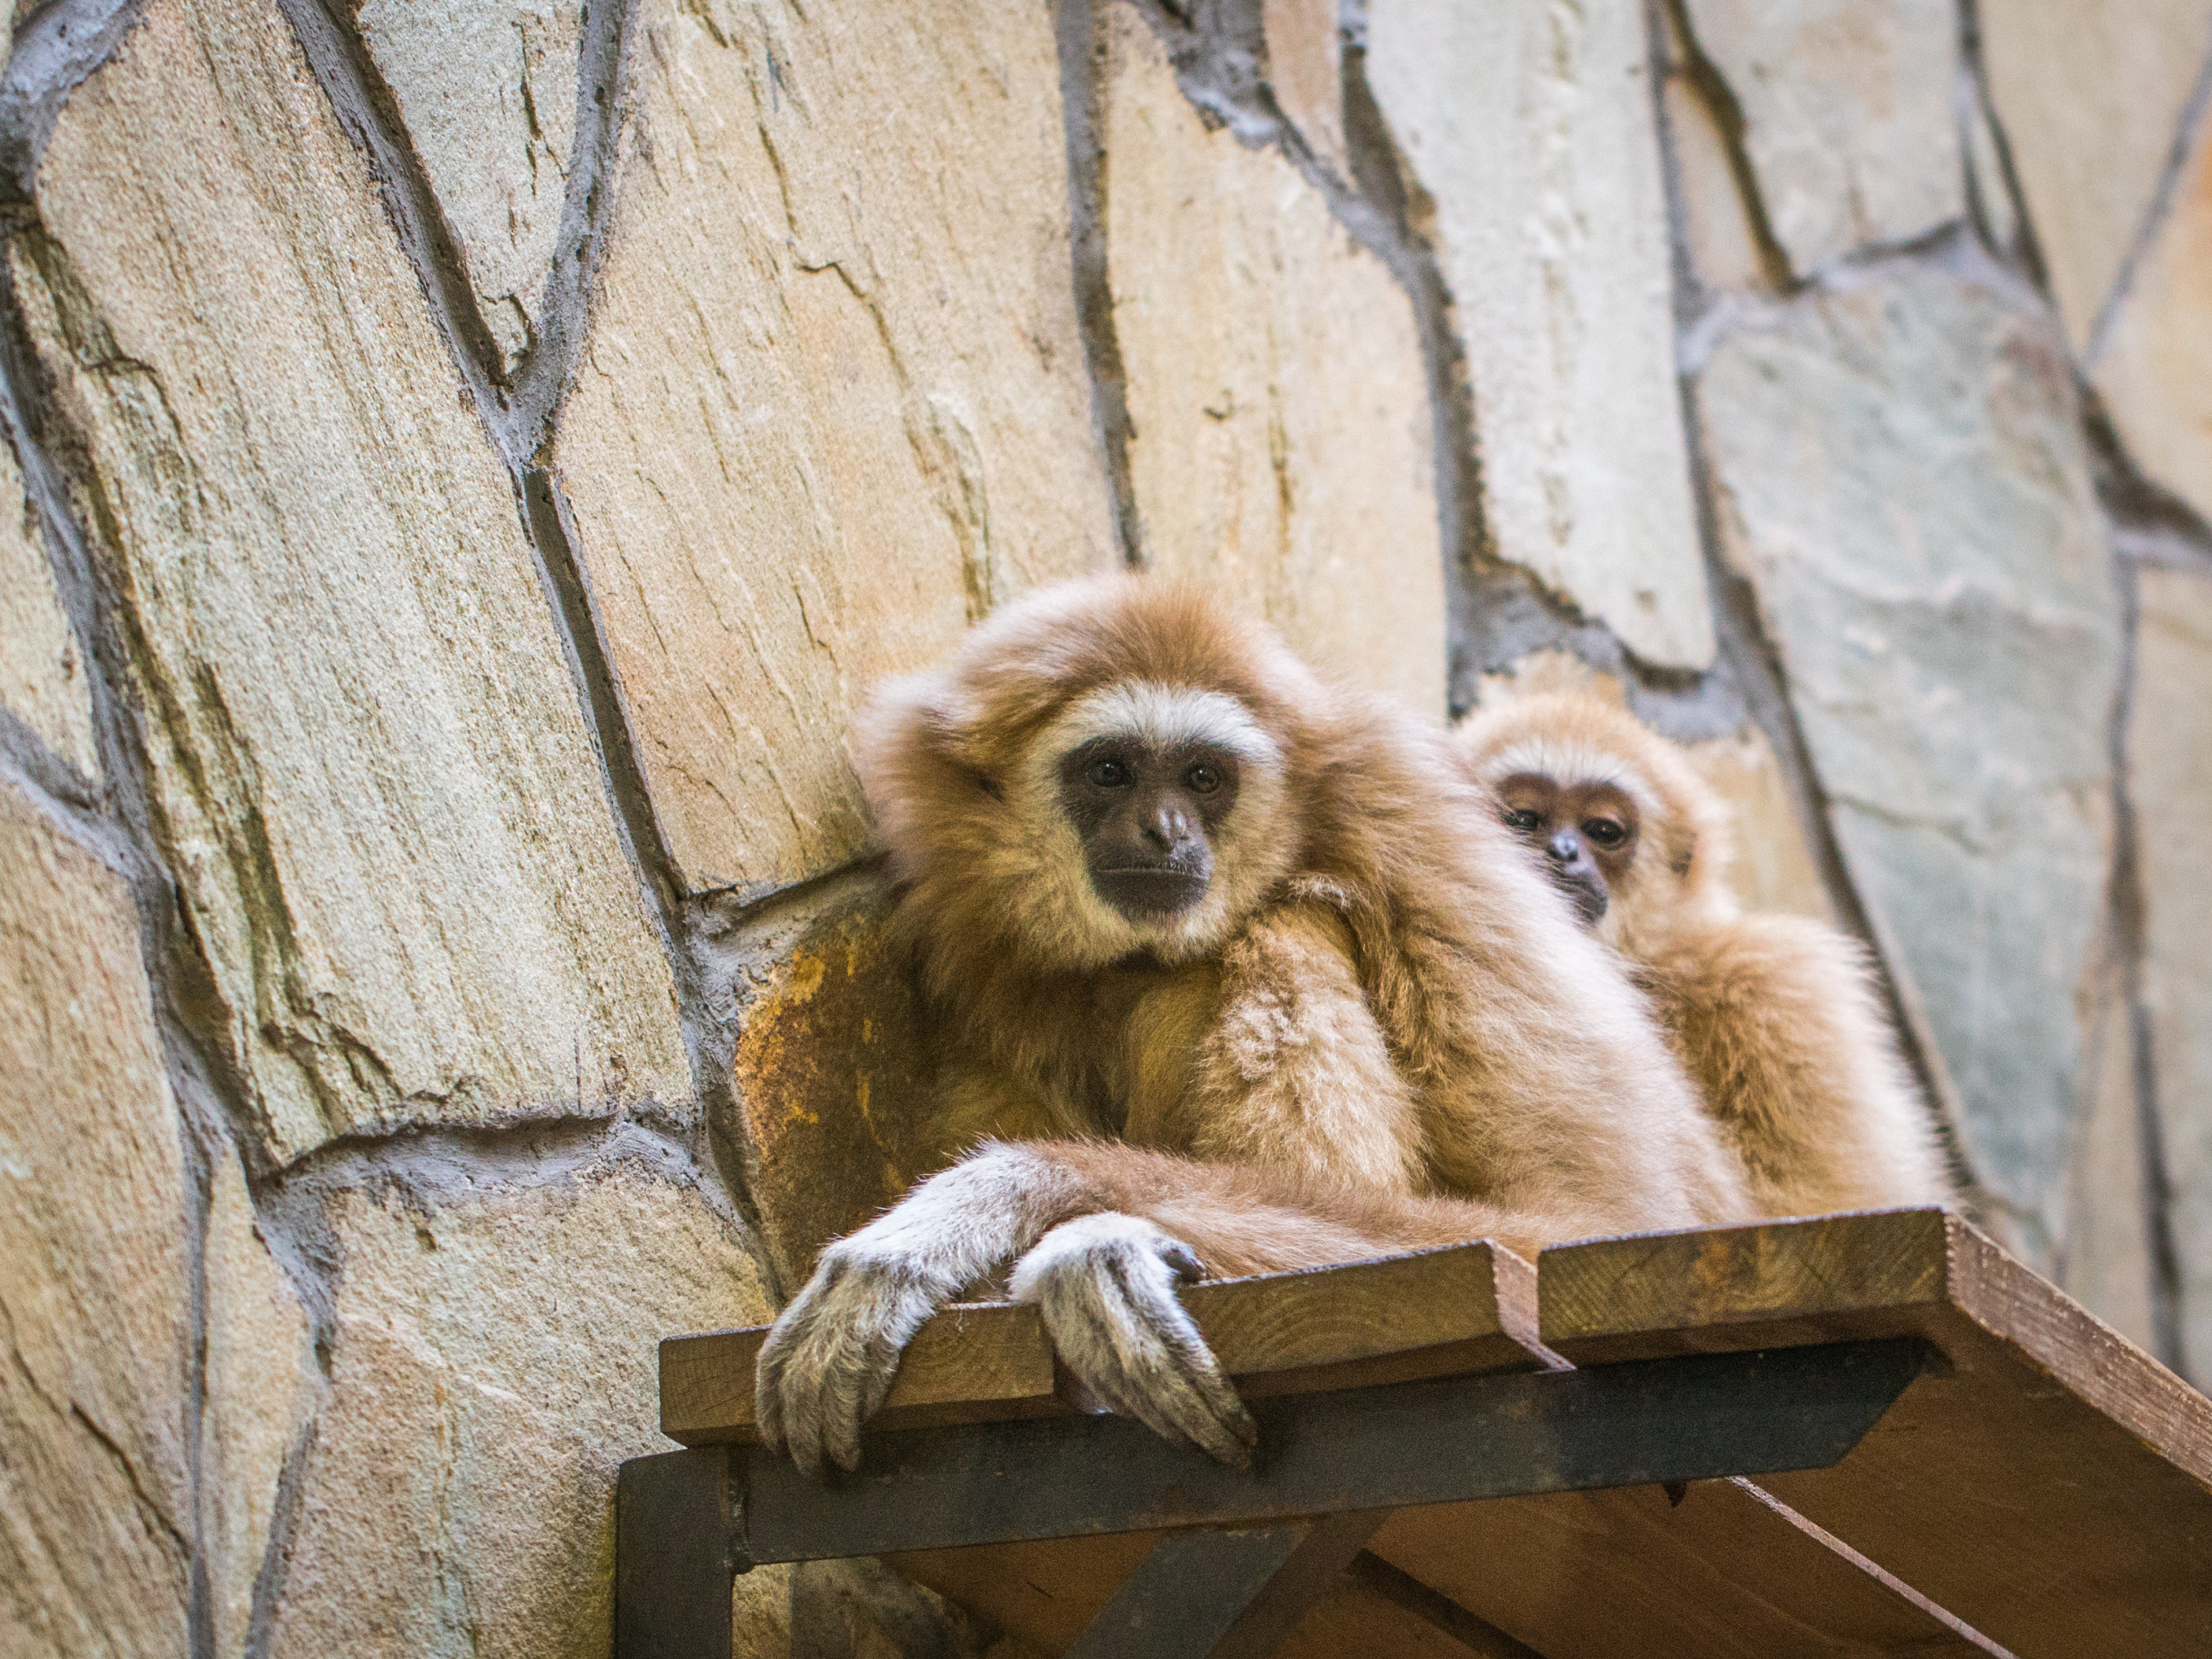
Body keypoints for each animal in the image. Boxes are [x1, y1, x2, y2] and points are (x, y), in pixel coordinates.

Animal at [755, 575, 1756, 1477]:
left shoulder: (1422, 850)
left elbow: (1571, 1221)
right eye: (1110, 770)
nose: (1165, 831)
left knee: (1281, 923)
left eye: (1203, 777)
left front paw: (1018, 1210)